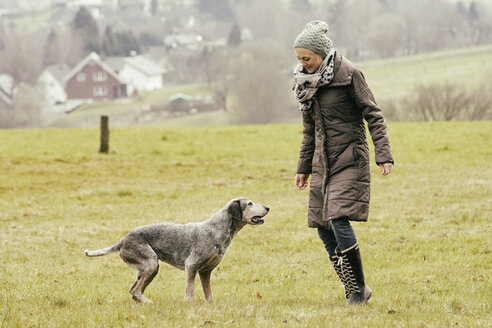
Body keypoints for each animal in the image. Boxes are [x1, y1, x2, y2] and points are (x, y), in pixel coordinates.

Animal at [84, 197, 270, 302]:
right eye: (250, 203)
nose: (268, 207)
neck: (217, 229)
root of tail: (123, 240)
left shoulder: (206, 272)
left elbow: (208, 295)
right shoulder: (191, 267)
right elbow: (190, 293)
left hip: (148, 269)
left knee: (134, 291)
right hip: (151, 264)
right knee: (135, 291)